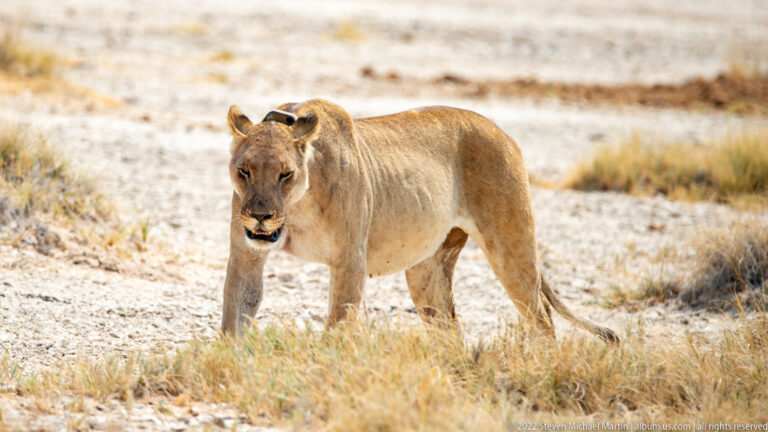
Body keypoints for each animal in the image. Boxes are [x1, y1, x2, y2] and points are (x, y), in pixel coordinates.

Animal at [221, 99, 619, 344]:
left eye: (285, 174)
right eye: (245, 171)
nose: (260, 216)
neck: (297, 207)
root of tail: (502, 133)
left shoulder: (350, 259)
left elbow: (338, 323)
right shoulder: (246, 254)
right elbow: (235, 313)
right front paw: (231, 360)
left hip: (512, 245)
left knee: (541, 316)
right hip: (428, 273)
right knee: (450, 330)